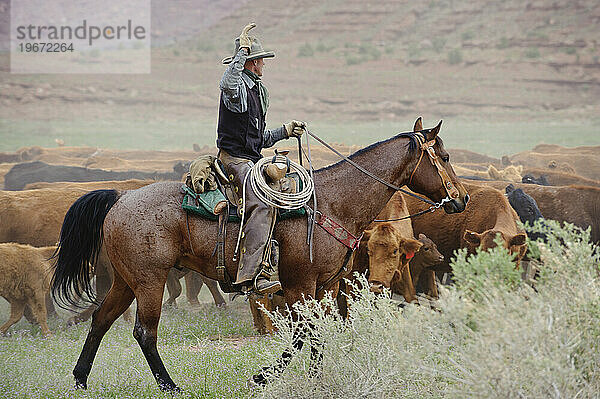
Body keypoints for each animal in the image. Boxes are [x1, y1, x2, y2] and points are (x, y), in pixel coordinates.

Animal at [52, 117, 468, 392]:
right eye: (445, 156)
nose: (462, 198)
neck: (333, 204)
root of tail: (120, 197)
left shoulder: (326, 287)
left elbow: (317, 333)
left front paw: (316, 379)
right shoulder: (299, 285)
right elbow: (302, 333)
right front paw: (262, 376)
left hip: (127, 281)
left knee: (101, 320)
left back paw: (80, 379)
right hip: (150, 281)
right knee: (144, 332)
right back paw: (170, 386)